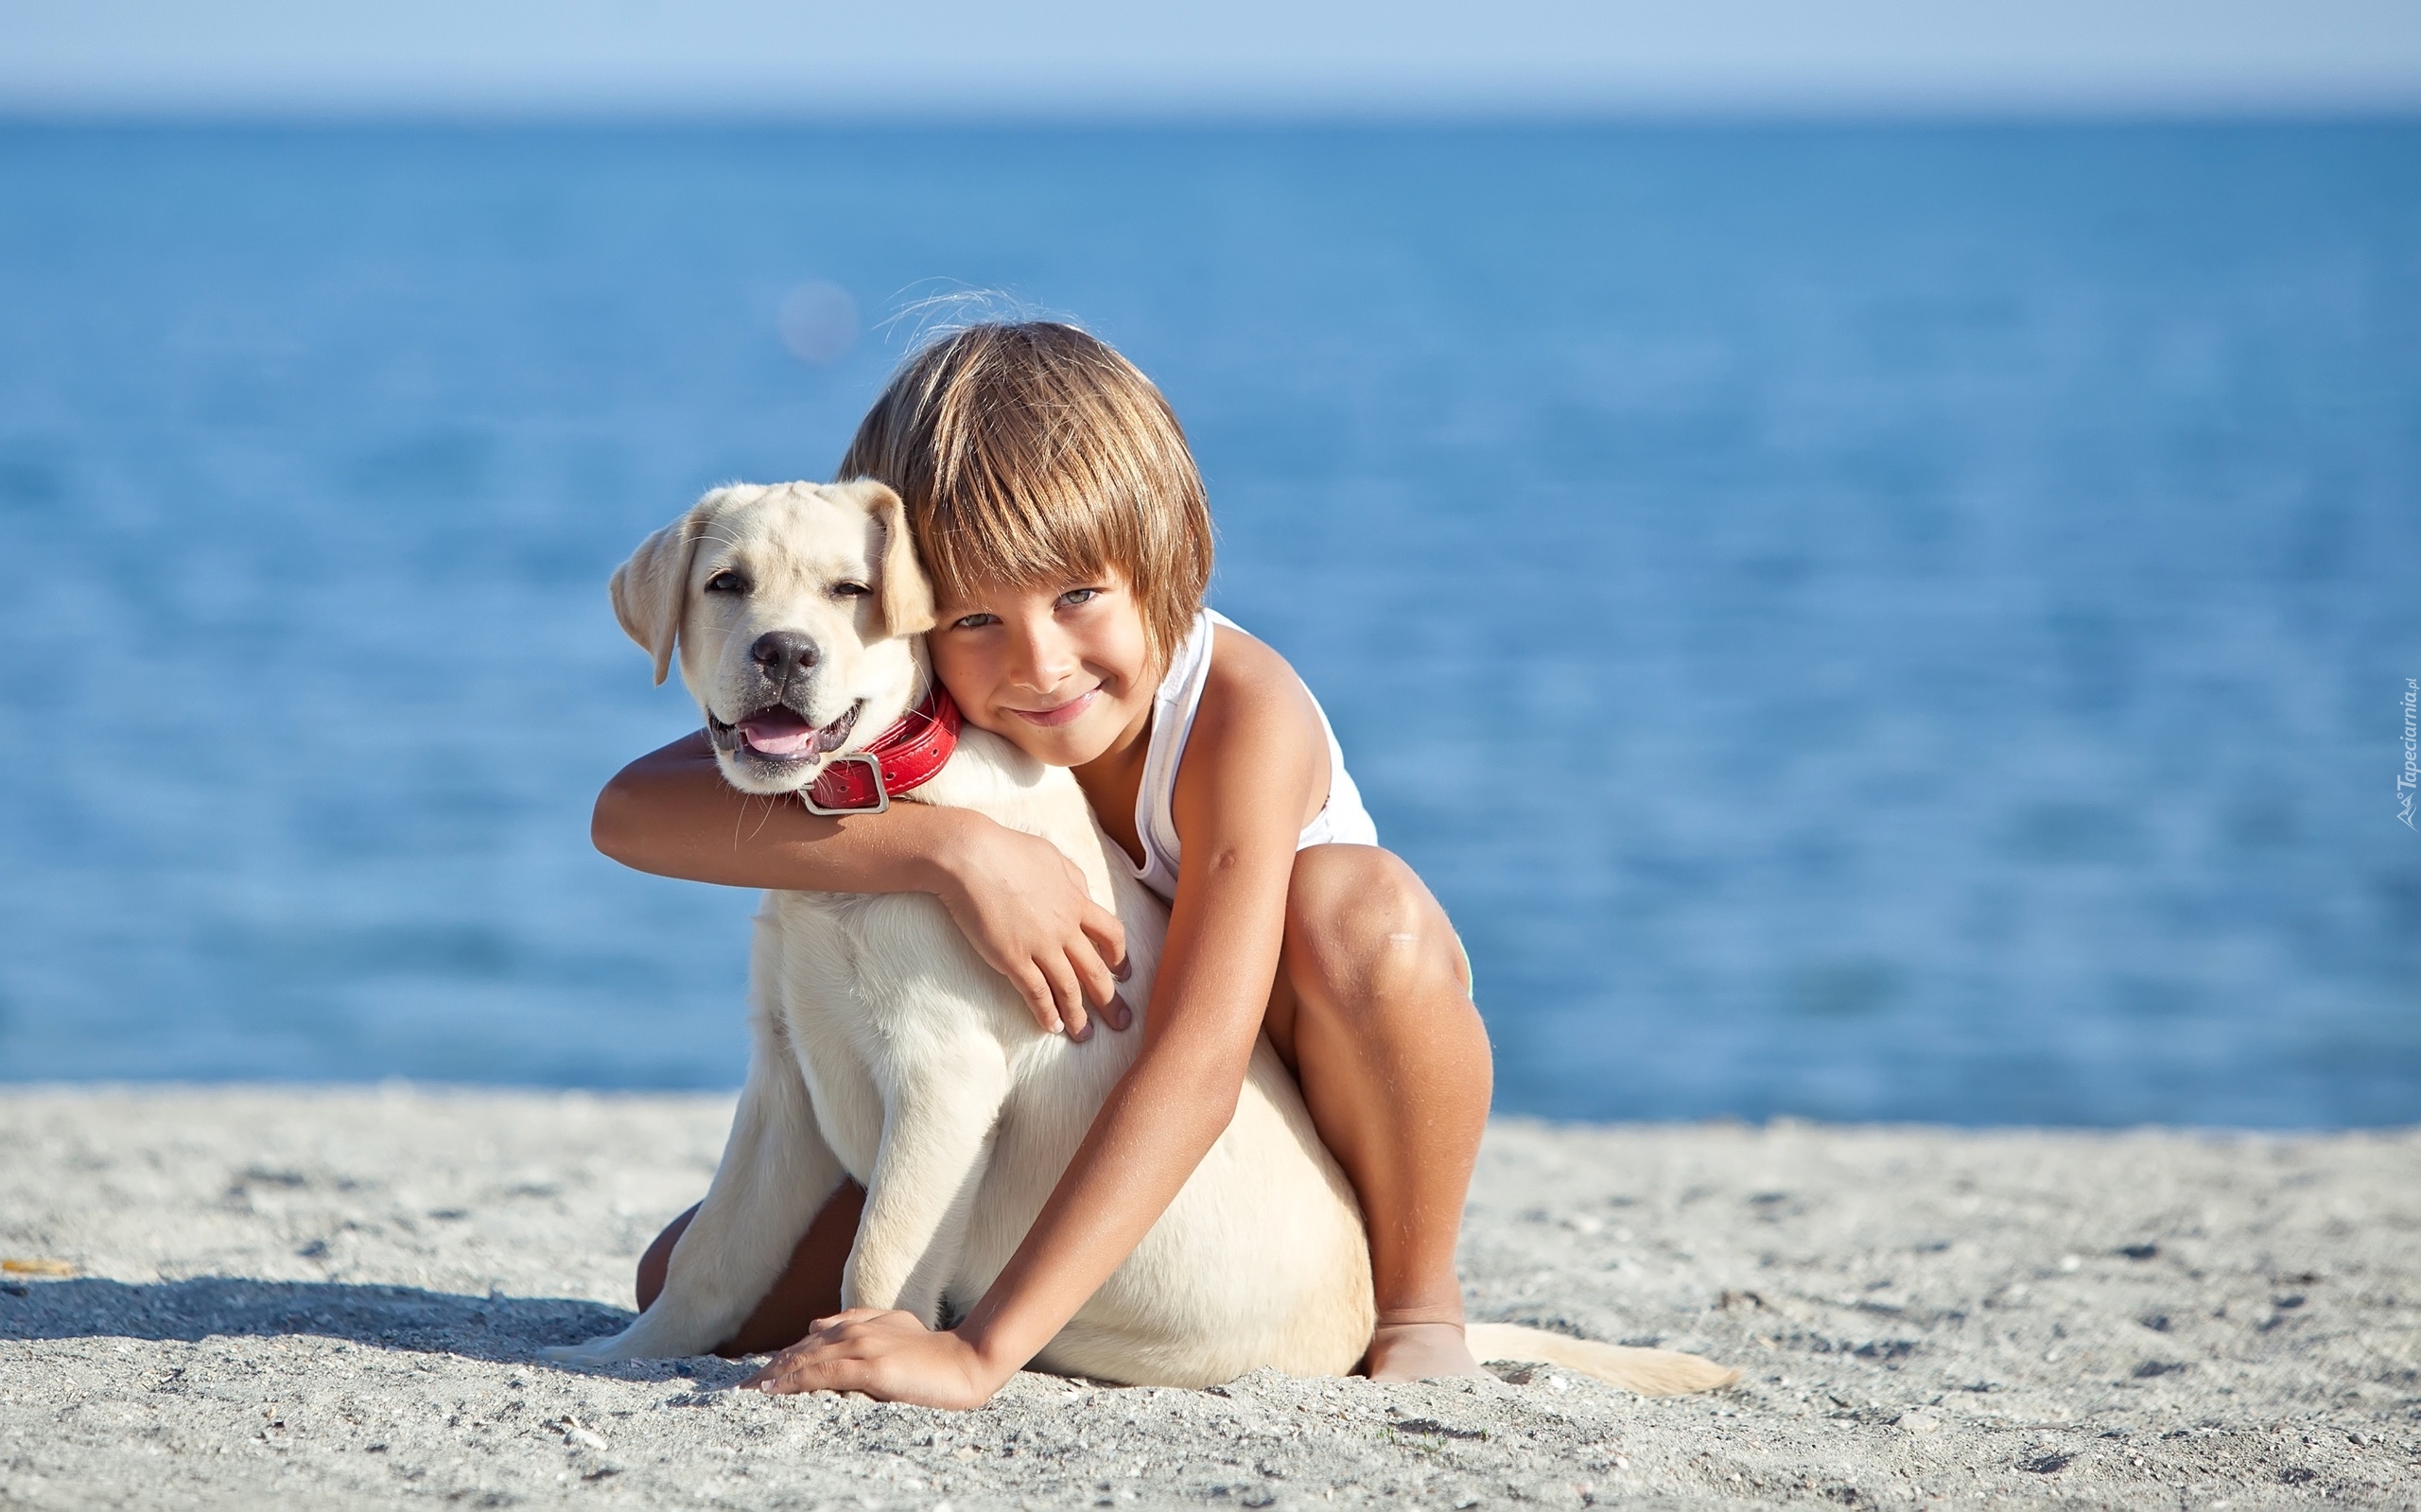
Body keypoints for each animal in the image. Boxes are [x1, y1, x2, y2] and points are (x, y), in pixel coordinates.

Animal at [554, 481, 1743, 1393]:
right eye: (726, 585)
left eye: (851, 591)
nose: (784, 653)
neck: (882, 803)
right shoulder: (785, 1076)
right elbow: (711, 1258)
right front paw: (623, 1355)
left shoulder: (943, 1077)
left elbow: (878, 1259)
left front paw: (868, 1363)